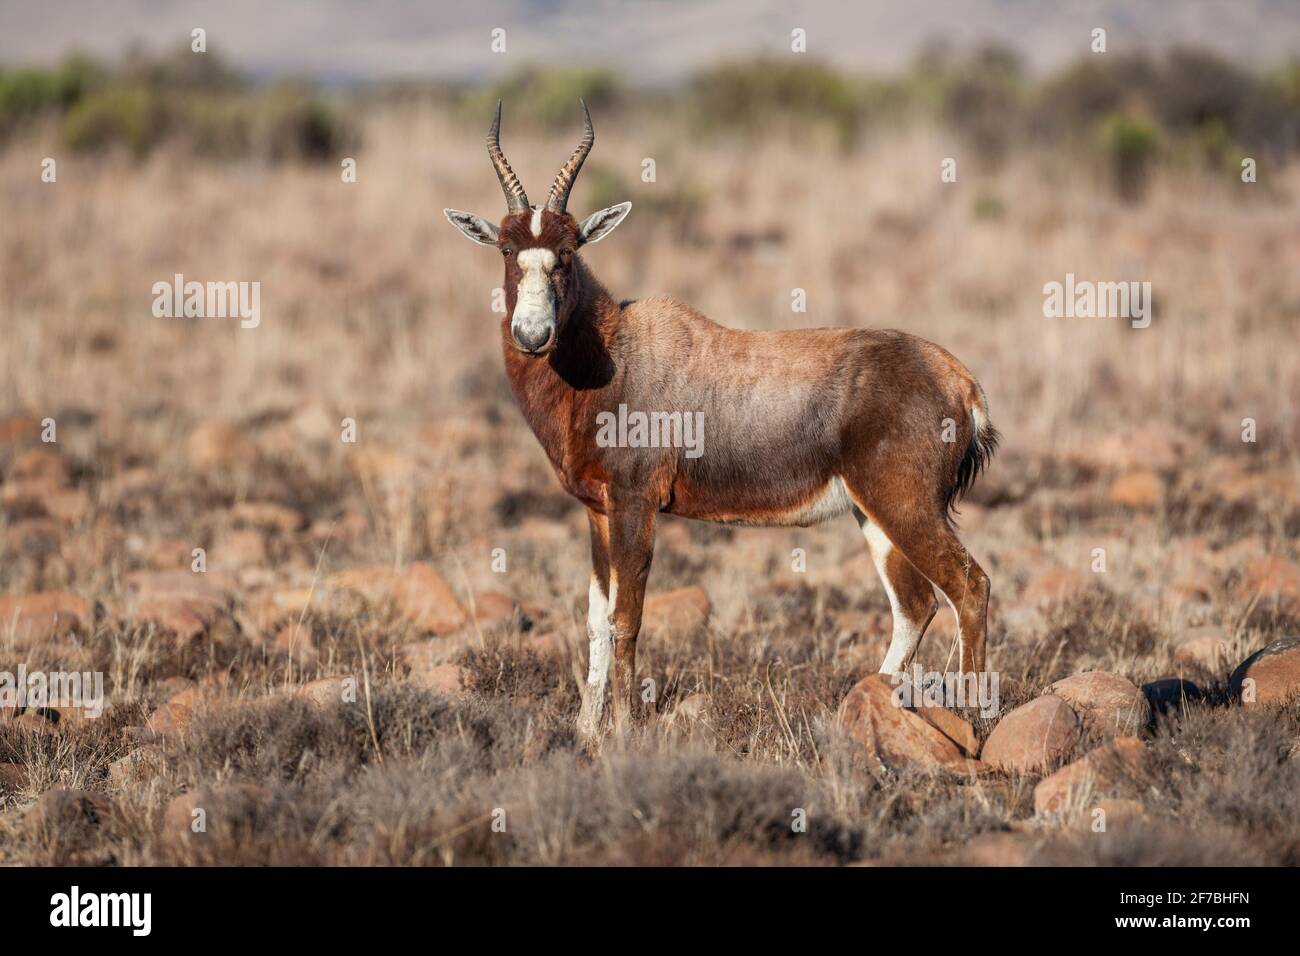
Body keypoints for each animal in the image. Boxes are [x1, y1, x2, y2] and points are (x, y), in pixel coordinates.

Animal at [441, 106, 998, 749]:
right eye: (508, 248)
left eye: (568, 248)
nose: (533, 335)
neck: (618, 350)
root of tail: (959, 380)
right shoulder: (598, 511)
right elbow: (596, 619)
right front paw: (586, 731)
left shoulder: (635, 504)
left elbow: (627, 618)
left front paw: (623, 731)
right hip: (873, 513)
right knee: (915, 605)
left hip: (906, 507)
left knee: (969, 587)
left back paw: (973, 726)